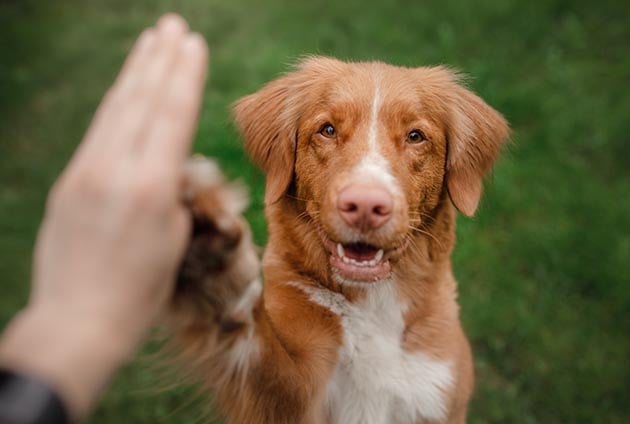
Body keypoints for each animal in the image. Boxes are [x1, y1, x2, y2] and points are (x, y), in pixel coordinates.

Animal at [169, 57, 512, 424]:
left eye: (416, 136)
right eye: (328, 130)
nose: (365, 205)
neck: (373, 303)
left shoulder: (440, 393)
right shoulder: (297, 393)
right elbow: (258, 349)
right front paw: (217, 270)